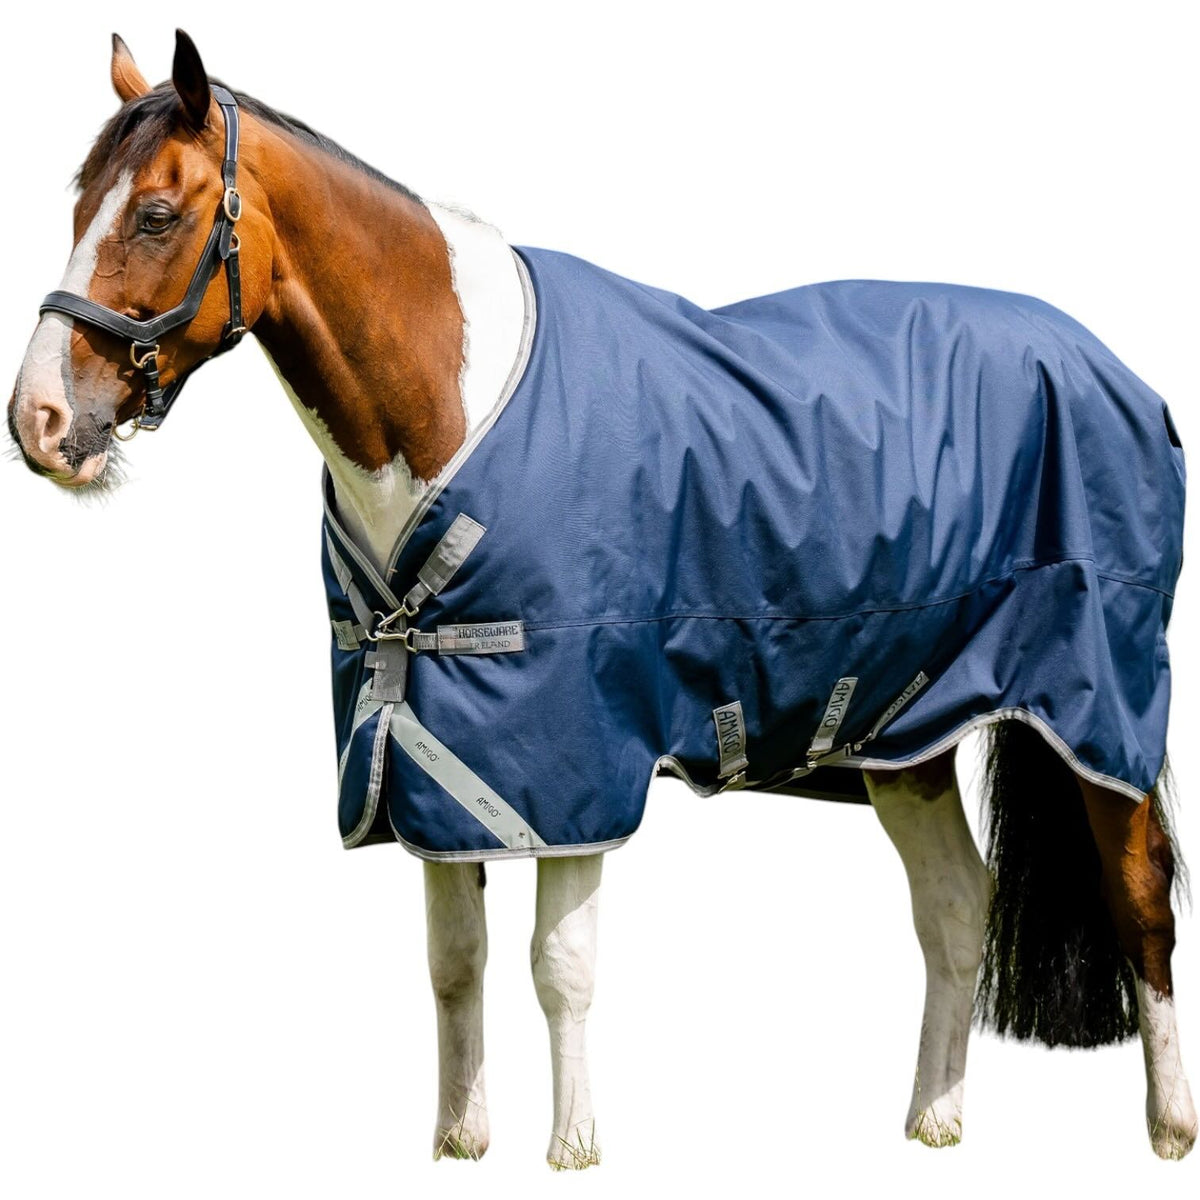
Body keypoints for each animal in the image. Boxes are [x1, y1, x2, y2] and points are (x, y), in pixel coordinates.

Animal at [6, 30, 1196, 1167]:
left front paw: (573, 1148)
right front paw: (457, 1142)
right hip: (905, 732)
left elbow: (559, 965)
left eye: (157, 213)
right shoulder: (432, 758)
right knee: (956, 909)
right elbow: (454, 961)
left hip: (1098, 713)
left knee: (1141, 904)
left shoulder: (572, 757)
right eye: (73, 205)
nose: (40, 422)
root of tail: (1118, 372)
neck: (447, 397)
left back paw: (1168, 1128)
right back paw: (935, 1121)